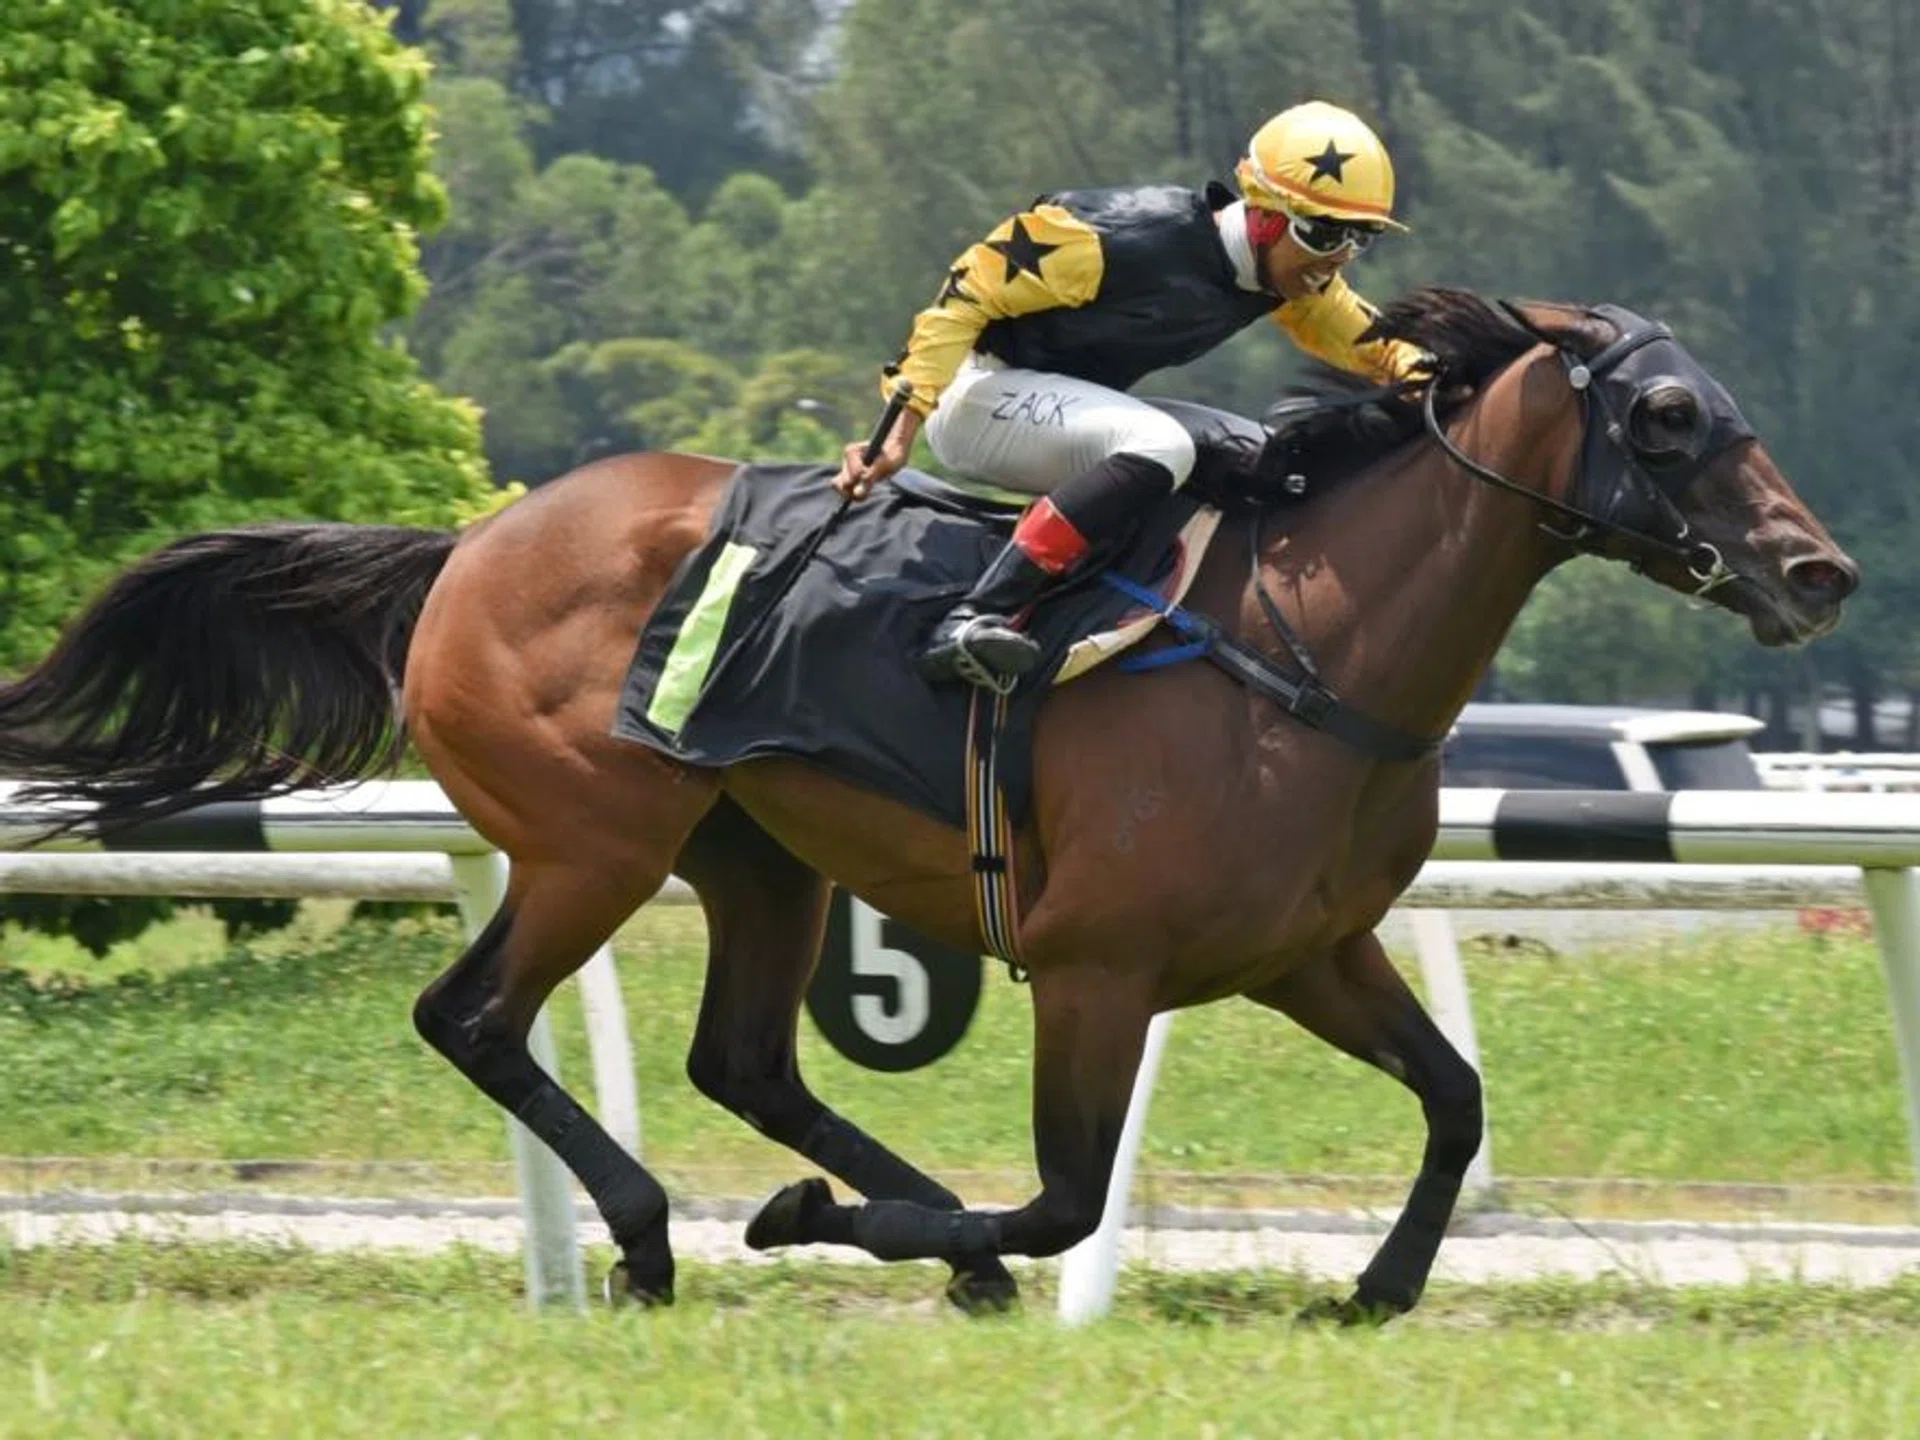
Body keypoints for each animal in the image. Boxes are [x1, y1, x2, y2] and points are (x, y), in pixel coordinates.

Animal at [0, 289, 1857, 1322]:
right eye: (1668, 415)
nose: (1818, 571)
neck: (1305, 647)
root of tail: (471, 545)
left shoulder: (1306, 953)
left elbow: (1457, 1103)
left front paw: (1378, 1291)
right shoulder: (1100, 971)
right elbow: (1067, 1197)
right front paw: (833, 1225)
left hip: (755, 857)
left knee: (742, 1058)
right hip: (593, 840)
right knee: (474, 1017)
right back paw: (659, 1241)